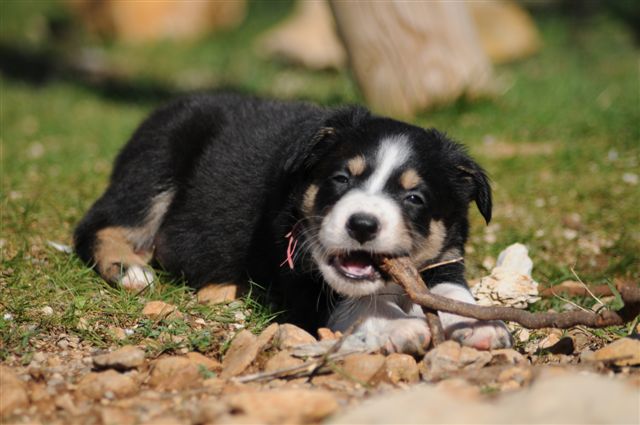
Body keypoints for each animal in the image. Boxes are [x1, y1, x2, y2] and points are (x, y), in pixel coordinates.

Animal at [74, 93, 516, 354]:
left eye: (414, 198)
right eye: (341, 178)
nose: (362, 225)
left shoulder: (446, 255)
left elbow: (449, 289)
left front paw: (481, 324)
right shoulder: (296, 269)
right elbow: (354, 299)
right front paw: (398, 327)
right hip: (157, 162)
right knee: (100, 224)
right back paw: (130, 270)